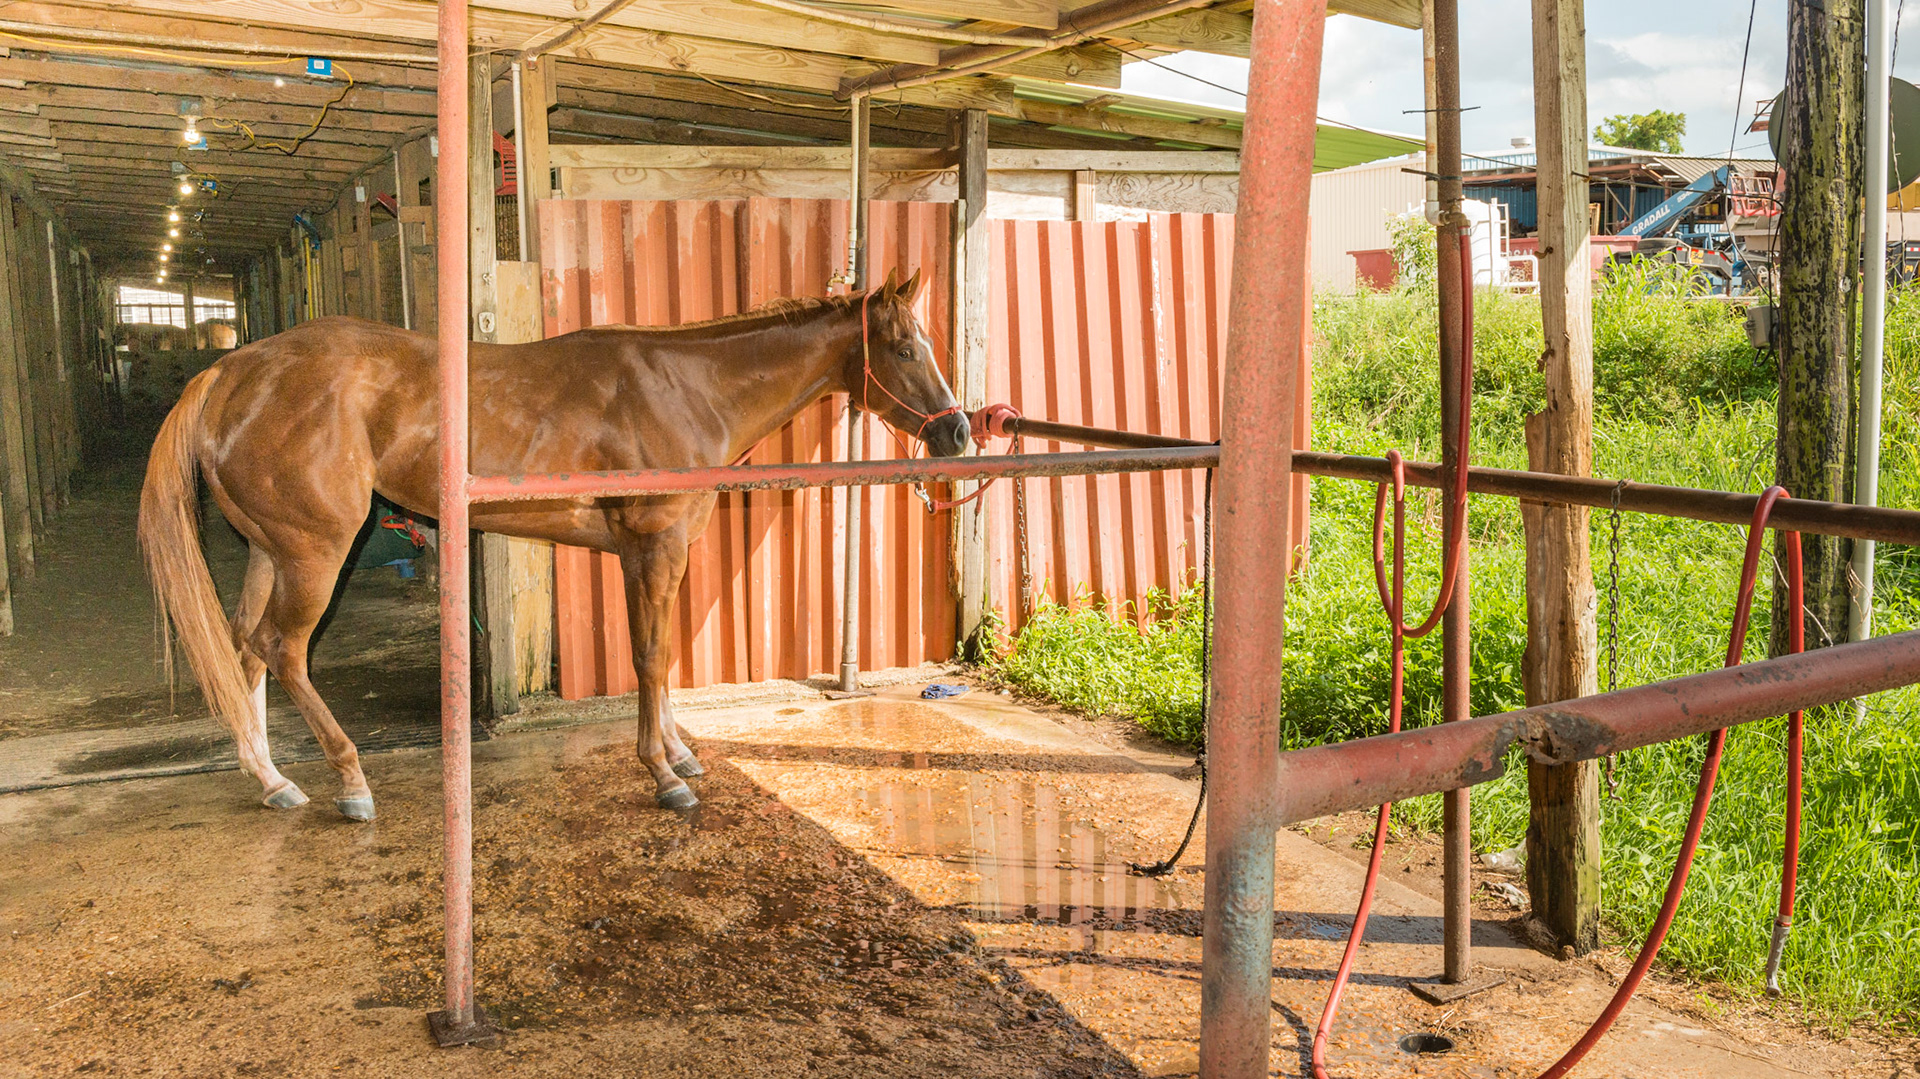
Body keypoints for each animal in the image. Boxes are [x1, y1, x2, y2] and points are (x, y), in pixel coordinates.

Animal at [139, 270, 968, 821]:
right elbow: (650, 657)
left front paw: (680, 752)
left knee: (245, 648)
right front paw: (664, 774)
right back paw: (349, 781)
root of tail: (230, 370)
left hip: (270, 551)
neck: (685, 388)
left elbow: (663, 654)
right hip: (315, 554)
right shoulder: (652, 546)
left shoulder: (664, 551)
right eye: (902, 347)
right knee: (283, 649)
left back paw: (274, 780)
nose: (958, 432)